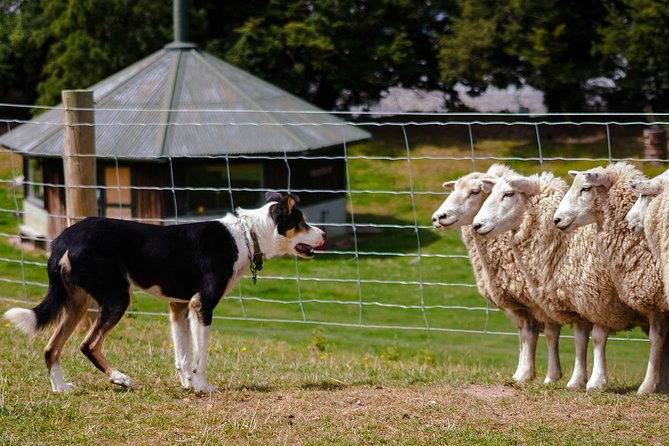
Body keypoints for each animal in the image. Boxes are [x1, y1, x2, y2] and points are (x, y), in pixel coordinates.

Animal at [430, 164, 560, 384]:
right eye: (453, 189)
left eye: (475, 191)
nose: (439, 217)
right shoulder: (518, 303)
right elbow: (525, 335)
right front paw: (522, 373)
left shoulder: (542, 300)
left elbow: (549, 334)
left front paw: (549, 376)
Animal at [472, 171, 644, 390]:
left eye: (509, 194)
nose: (477, 225)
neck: (567, 244)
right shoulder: (569, 304)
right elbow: (574, 339)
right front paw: (572, 379)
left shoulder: (600, 300)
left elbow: (594, 339)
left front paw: (592, 381)